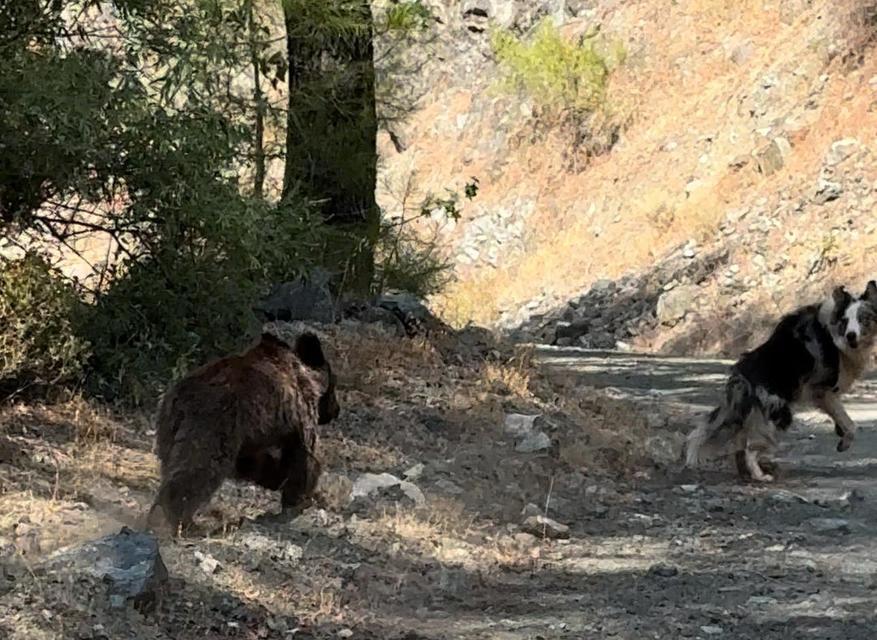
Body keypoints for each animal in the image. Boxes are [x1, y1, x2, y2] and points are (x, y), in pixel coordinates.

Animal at [684, 280, 876, 480]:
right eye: (845, 321)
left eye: (863, 319)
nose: (851, 336)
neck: (832, 331)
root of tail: (740, 376)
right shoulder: (821, 391)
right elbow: (850, 424)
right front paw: (844, 441)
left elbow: (843, 420)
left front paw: (840, 433)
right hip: (779, 415)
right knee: (750, 448)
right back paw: (760, 476)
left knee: (737, 443)